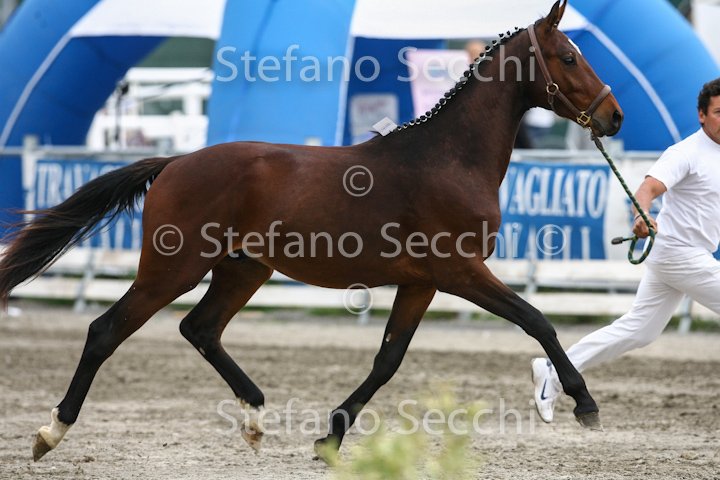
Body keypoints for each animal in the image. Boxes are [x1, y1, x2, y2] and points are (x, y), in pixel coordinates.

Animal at [0, 0, 622, 462]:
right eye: (569, 57)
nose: (614, 116)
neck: (447, 159)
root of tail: (175, 161)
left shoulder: (421, 281)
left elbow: (387, 361)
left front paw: (330, 436)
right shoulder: (460, 271)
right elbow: (537, 320)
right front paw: (585, 404)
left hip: (243, 269)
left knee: (200, 328)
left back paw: (254, 417)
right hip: (172, 268)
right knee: (106, 330)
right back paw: (50, 433)